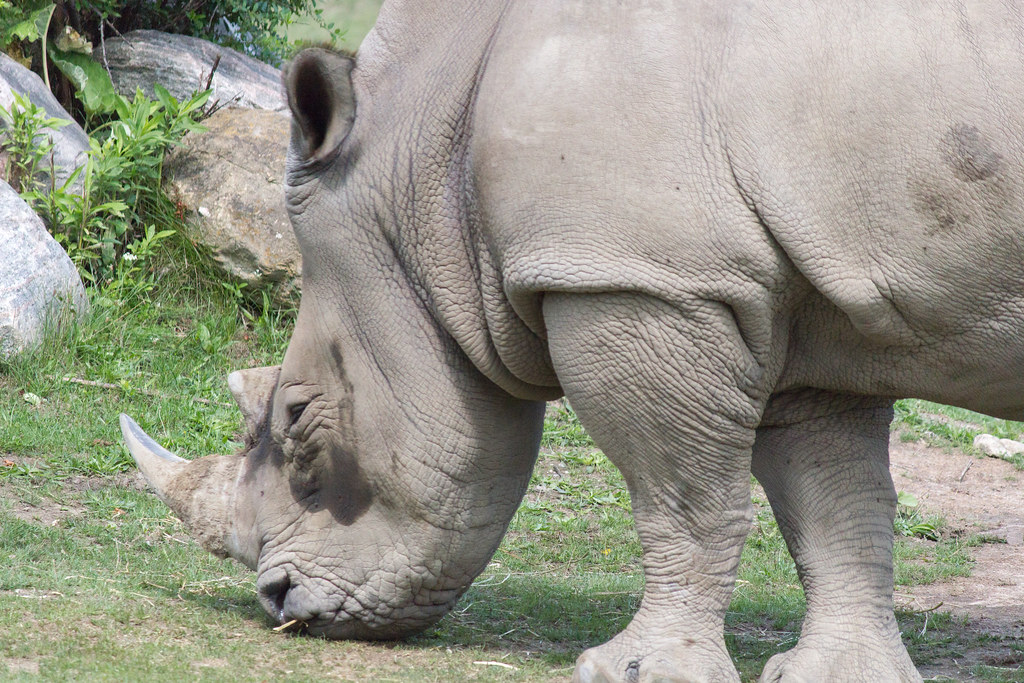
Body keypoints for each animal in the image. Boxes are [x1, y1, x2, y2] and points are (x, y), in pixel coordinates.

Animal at [119, 0, 1024, 680]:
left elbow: (682, 497)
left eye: (300, 420)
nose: (277, 600)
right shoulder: (794, 289)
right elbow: (837, 502)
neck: (423, 168)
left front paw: (631, 671)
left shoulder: (640, 277)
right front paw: (841, 675)